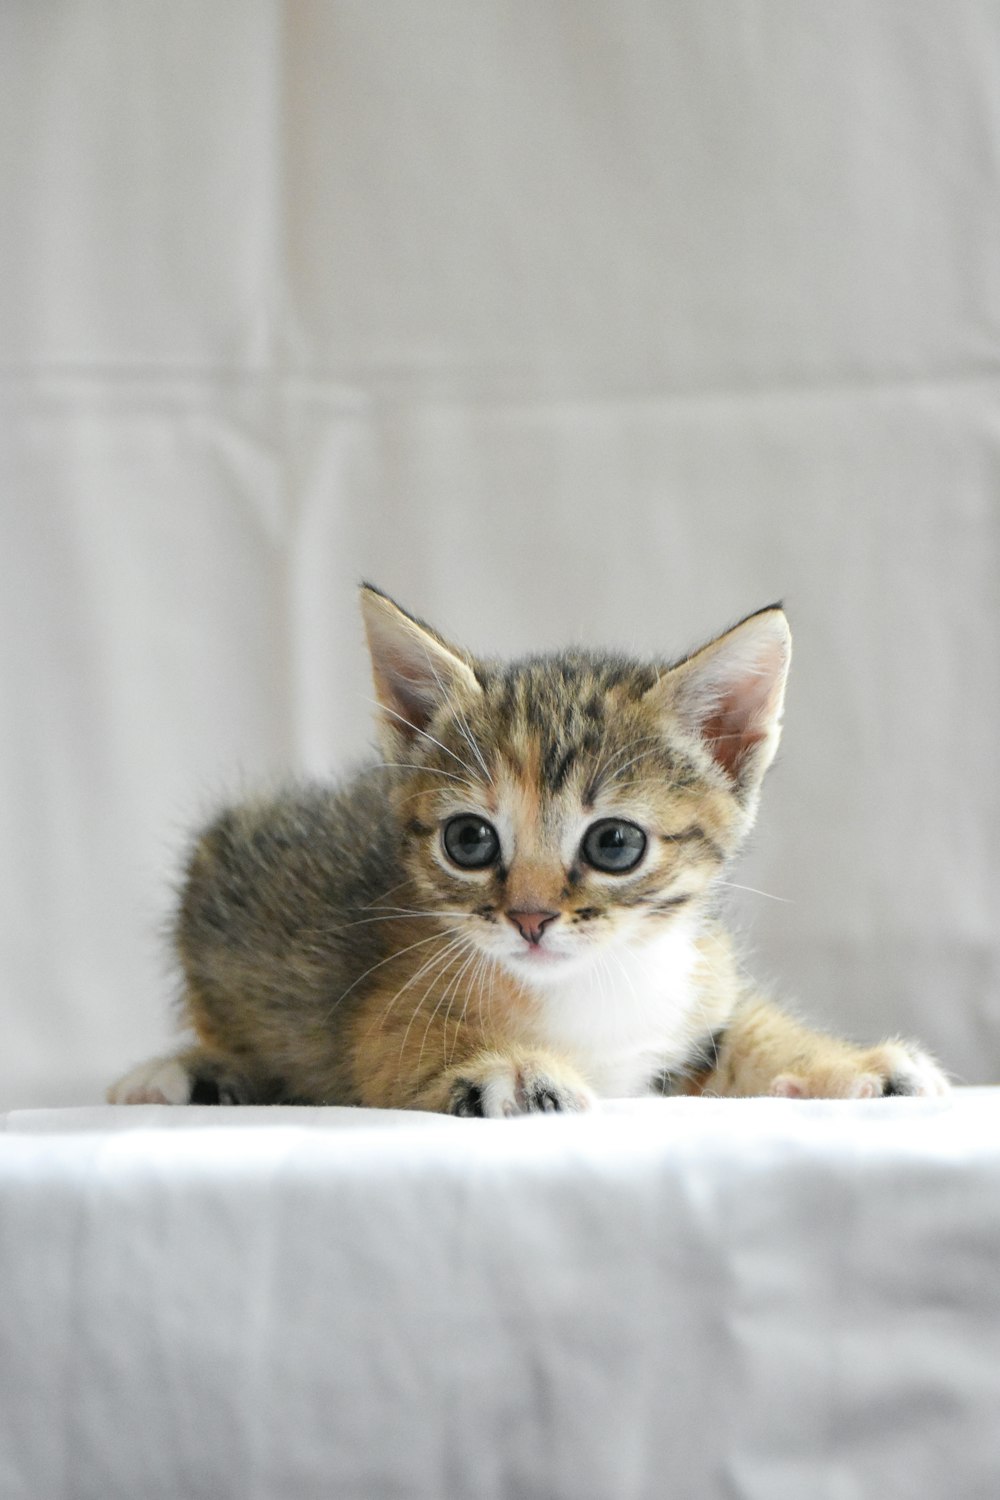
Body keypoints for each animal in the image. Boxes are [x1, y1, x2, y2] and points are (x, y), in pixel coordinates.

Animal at [107, 585, 947, 1116]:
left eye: (615, 843)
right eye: (469, 839)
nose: (531, 918)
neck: (588, 987)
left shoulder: (698, 987)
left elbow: (747, 1027)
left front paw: (849, 1063)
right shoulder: (383, 1004)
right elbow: (395, 1041)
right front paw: (505, 1067)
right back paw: (180, 1072)